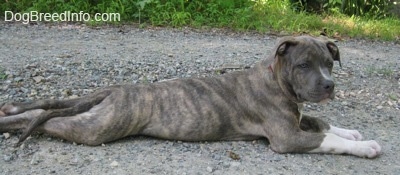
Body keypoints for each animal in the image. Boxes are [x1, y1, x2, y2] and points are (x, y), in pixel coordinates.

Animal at [0, 36, 382, 159]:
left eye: (329, 63)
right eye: (303, 65)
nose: (329, 86)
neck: (277, 80)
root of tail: (117, 90)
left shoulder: (298, 118)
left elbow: (325, 124)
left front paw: (352, 132)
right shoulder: (286, 137)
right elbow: (326, 139)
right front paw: (364, 146)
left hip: (92, 104)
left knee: (49, 104)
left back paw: (11, 106)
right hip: (98, 127)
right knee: (47, 120)